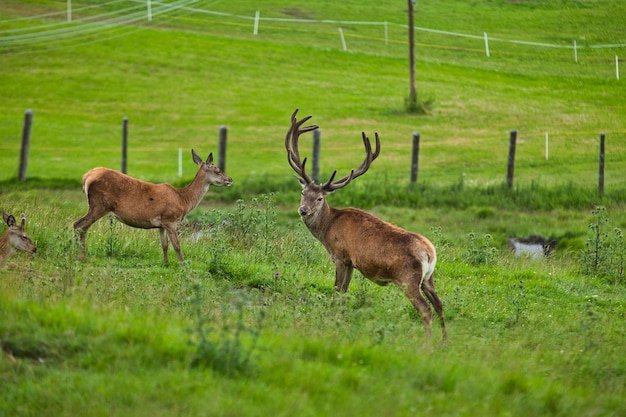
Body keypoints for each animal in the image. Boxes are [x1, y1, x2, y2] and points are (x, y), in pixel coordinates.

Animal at [73, 149, 233, 264]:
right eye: (217, 170)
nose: (230, 179)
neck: (184, 201)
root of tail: (86, 177)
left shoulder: (161, 224)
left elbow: (164, 245)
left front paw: (166, 263)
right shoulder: (171, 219)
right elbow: (177, 245)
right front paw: (182, 265)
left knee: (77, 224)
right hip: (99, 204)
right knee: (80, 225)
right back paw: (81, 257)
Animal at [286, 109, 446, 340]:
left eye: (319, 198)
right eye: (302, 192)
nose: (303, 210)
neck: (327, 229)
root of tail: (430, 253)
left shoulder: (340, 255)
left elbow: (336, 290)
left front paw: (330, 319)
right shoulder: (351, 262)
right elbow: (344, 291)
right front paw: (340, 319)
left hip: (408, 278)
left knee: (426, 309)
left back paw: (427, 344)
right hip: (428, 278)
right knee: (440, 304)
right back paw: (444, 341)